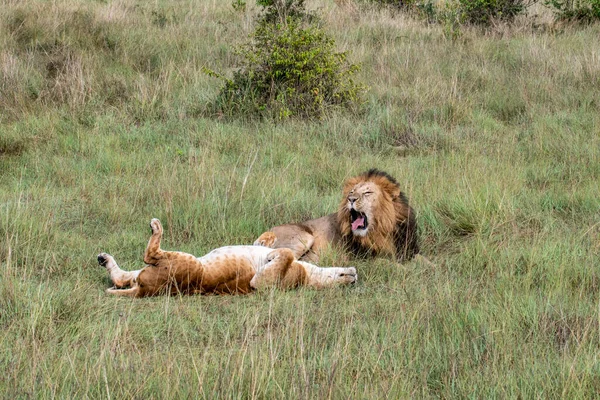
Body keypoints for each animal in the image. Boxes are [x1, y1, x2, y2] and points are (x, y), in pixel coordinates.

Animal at [97, 217, 356, 296]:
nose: (354, 275)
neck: (308, 277)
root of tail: (146, 290)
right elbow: (265, 243)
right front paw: (267, 241)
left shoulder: (264, 284)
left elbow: (285, 255)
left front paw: (272, 254)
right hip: (139, 275)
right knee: (121, 278)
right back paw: (104, 258)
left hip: (185, 261)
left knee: (149, 254)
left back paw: (156, 226)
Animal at [255, 168, 420, 262]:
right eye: (352, 192)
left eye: (367, 192)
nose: (351, 199)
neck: (383, 230)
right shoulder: (364, 258)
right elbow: (389, 263)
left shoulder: (408, 250)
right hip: (303, 237)